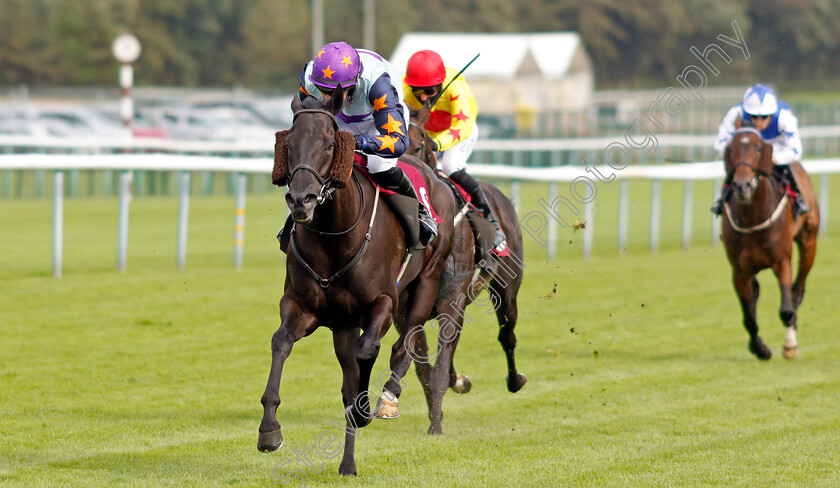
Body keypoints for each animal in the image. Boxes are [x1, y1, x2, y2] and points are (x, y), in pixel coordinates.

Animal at [260, 86, 456, 474]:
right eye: (288, 144)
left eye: (329, 145)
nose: (301, 200)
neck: (333, 237)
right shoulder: (302, 307)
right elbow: (280, 342)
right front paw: (269, 430)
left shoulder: (382, 304)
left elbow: (369, 350)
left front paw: (366, 408)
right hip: (342, 323)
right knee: (349, 376)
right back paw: (347, 464)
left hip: (426, 280)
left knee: (403, 346)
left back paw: (386, 400)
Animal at [400, 100, 524, 434]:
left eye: (419, 147)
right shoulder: (404, 314)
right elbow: (424, 369)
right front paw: (437, 413)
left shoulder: (451, 301)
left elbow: (438, 368)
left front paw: (435, 427)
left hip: (506, 287)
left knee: (507, 334)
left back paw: (515, 380)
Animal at [720, 127, 820, 360]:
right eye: (731, 149)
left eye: (759, 148)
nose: (742, 186)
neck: (752, 218)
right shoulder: (739, 271)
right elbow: (749, 316)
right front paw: (760, 348)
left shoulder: (781, 260)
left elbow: (786, 308)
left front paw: (789, 343)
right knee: (756, 294)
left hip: (809, 242)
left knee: (797, 290)